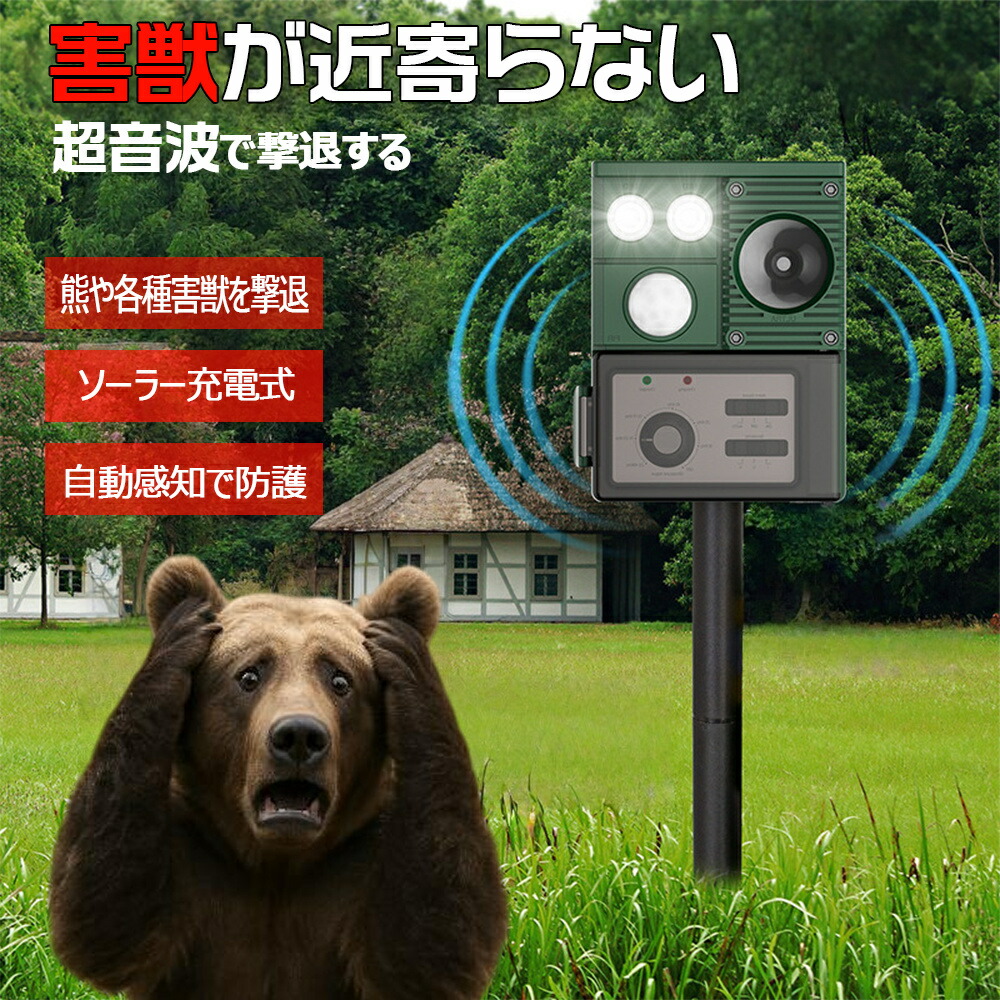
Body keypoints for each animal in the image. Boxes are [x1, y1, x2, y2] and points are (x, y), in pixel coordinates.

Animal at [49, 556, 507, 1000]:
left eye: (340, 678)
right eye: (249, 674)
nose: (299, 735)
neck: (276, 865)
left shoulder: (359, 863)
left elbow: (434, 945)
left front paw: (400, 644)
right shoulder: (192, 855)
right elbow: (104, 918)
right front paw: (185, 623)